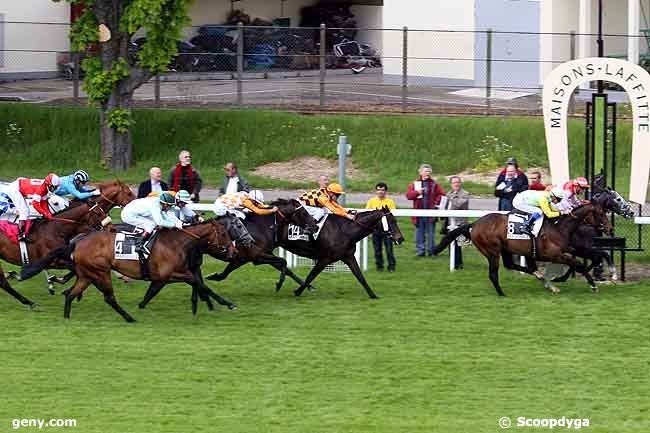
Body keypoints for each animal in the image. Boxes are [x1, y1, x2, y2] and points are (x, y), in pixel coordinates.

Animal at [0, 179, 134, 308]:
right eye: (129, 193)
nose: (112, 228)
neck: (57, 228)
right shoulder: (56, 260)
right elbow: (73, 269)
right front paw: (61, 283)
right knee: (3, 283)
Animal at [21, 219, 234, 320]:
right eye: (224, 233)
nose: (233, 251)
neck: (176, 242)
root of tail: (77, 241)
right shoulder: (167, 274)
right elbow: (198, 282)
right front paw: (226, 303)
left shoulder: (173, 274)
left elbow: (196, 282)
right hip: (100, 272)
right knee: (108, 297)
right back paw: (129, 318)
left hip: (87, 275)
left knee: (71, 294)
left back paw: (66, 317)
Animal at [432, 204, 612, 296]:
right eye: (601, 213)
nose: (609, 228)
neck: (559, 227)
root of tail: (473, 224)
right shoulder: (553, 255)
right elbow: (578, 264)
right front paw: (593, 285)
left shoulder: (567, 250)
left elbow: (586, 259)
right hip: (492, 252)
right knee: (493, 274)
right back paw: (502, 293)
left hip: (505, 249)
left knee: (511, 265)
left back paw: (540, 277)